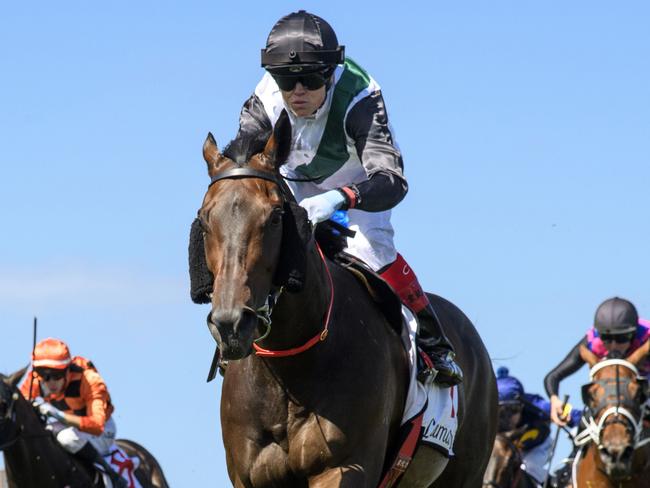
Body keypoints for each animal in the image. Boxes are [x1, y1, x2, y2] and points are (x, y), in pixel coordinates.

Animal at [197, 111, 496, 488]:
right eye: (204, 219)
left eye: (276, 216)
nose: (232, 323)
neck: (289, 371)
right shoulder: (248, 476)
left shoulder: (345, 467)